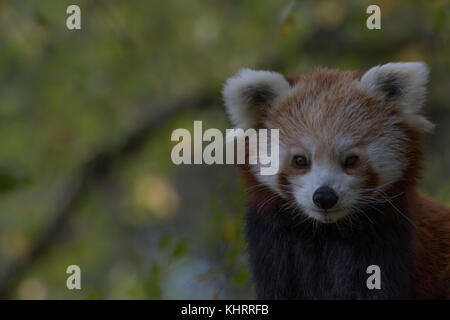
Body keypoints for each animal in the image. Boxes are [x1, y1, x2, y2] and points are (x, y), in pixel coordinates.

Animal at [222, 63, 450, 300]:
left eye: (351, 160)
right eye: (300, 160)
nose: (324, 197)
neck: (327, 233)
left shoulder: (388, 247)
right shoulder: (274, 248)